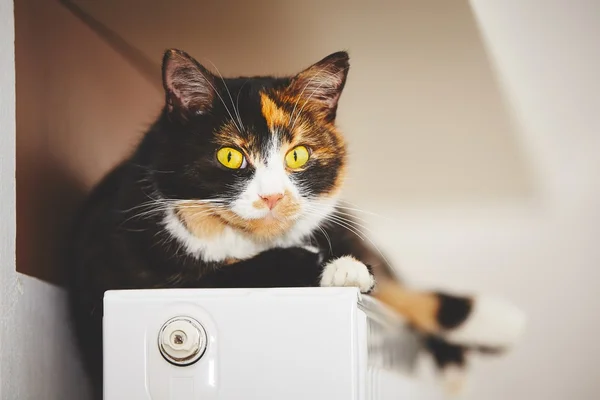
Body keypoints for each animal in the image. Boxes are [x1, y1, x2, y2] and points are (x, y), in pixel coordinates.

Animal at [67, 49, 524, 396]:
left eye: (298, 154)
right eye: (230, 156)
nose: (272, 196)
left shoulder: (338, 227)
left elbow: (391, 284)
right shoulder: (134, 271)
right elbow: (235, 272)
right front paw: (323, 265)